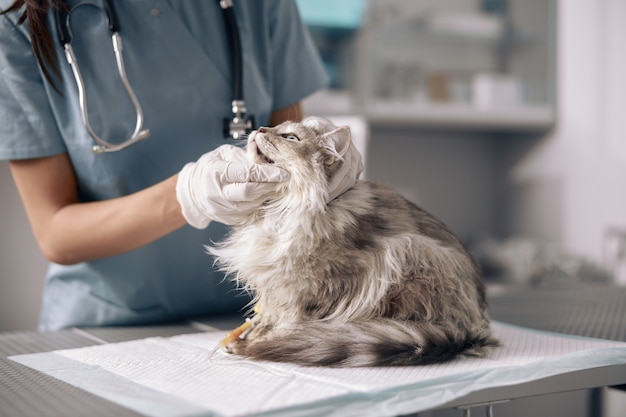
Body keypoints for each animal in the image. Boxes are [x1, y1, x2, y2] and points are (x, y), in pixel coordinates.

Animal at [207, 115, 500, 366]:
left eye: (290, 137)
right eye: (273, 128)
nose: (259, 128)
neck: (278, 210)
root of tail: (473, 328)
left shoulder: (311, 287)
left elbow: (289, 320)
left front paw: (263, 341)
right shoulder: (276, 284)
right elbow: (268, 314)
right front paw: (249, 336)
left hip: (409, 253)